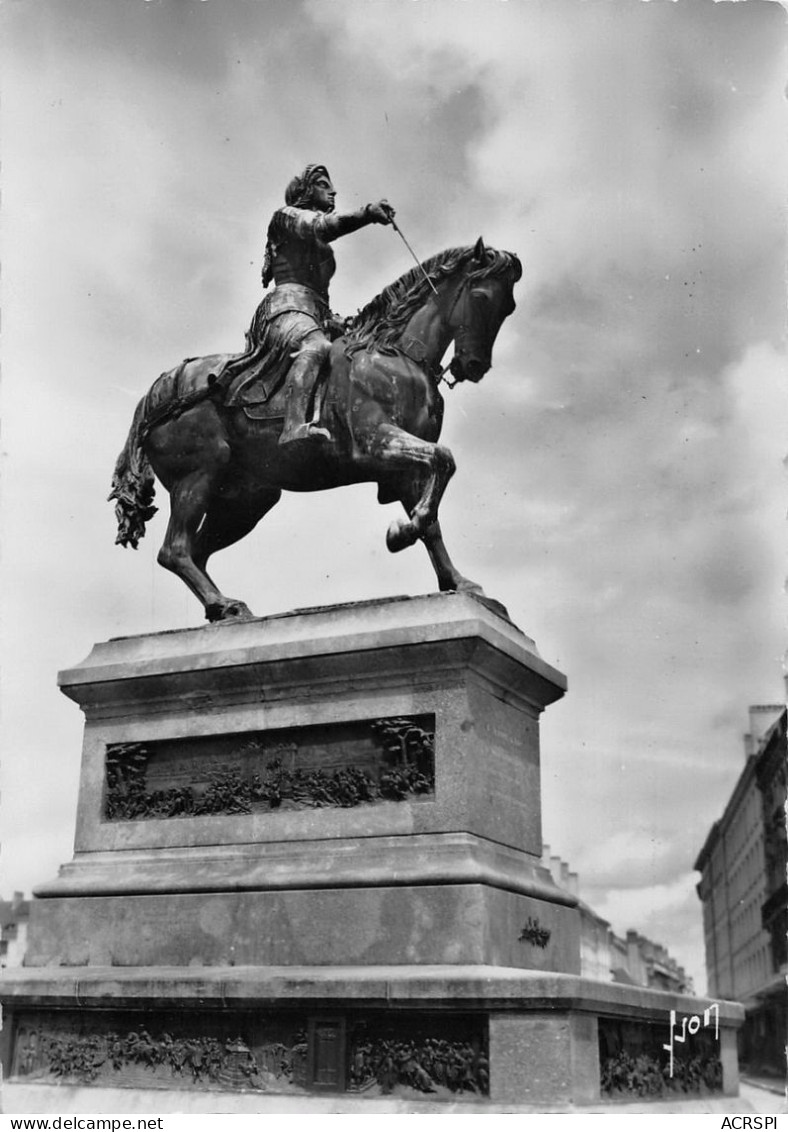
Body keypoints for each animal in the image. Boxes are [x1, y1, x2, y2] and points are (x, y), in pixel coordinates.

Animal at [109, 236, 516, 620]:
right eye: (481, 296)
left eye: (508, 307)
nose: (474, 366)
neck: (393, 354)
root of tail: (163, 387)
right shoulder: (377, 443)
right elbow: (444, 461)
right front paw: (400, 533)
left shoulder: (405, 470)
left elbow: (432, 518)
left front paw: (458, 582)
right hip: (198, 476)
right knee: (175, 550)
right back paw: (224, 604)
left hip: (246, 499)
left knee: (197, 551)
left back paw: (223, 609)